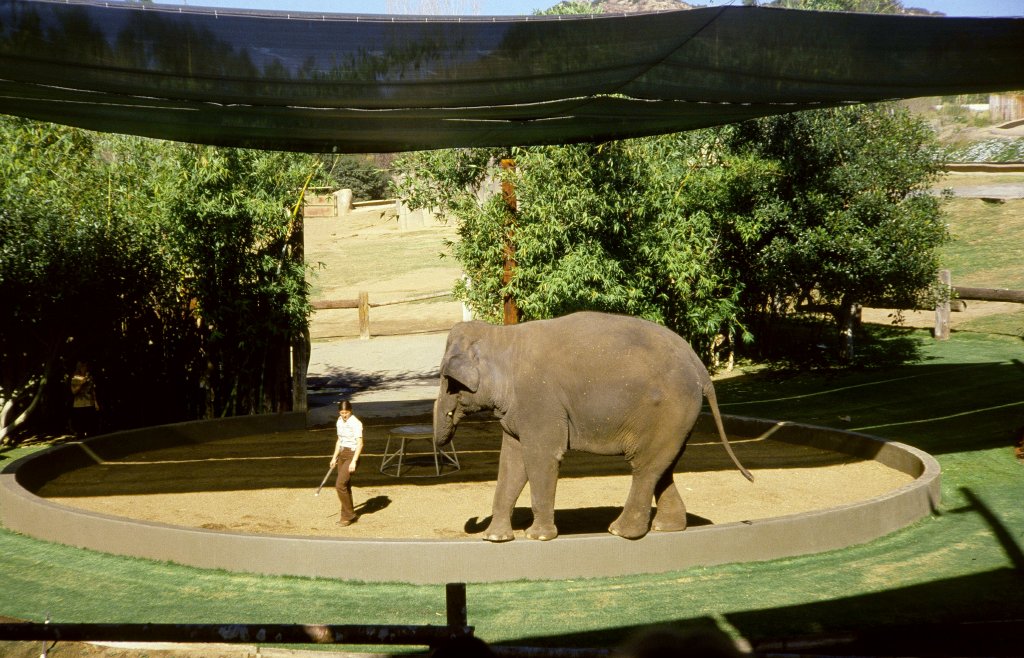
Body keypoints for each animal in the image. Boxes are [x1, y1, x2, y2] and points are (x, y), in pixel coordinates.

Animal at [433, 311, 752, 542]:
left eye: (448, 380)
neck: (503, 336)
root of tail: (700, 368)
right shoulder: (518, 410)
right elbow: (511, 463)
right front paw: (495, 539)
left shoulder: (540, 401)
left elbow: (541, 457)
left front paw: (538, 537)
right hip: (677, 418)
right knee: (664, 466)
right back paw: (666, 528)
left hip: (669, 409)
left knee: (645, 466)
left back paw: (620, 531)